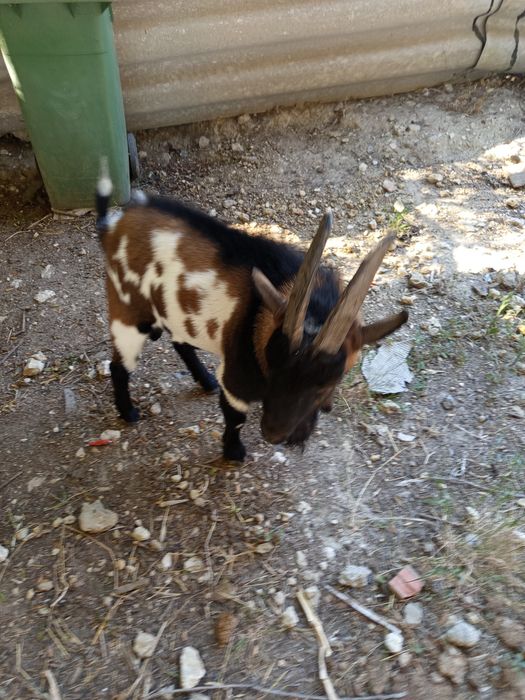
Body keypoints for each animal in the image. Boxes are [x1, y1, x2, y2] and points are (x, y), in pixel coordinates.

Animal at [95, 174, 408, 461]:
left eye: (326, 384)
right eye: (272, 367)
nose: (273, 434)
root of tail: (111, 226)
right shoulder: (236, 379)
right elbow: (235, 417)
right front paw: (234, 452)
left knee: (179, 341)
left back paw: (205, 380)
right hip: (128, 314)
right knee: (119, 366)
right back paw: (129, 412)